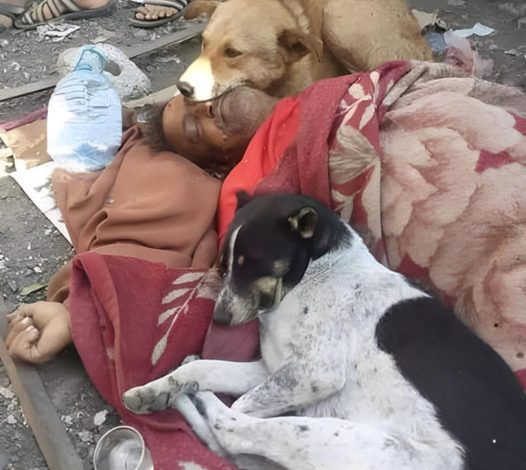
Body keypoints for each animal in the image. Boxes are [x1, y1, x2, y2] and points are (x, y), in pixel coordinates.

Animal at [124, 193, 526, 468]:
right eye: (224, 265)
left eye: (251, 264)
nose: (220, 319)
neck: (315, 271)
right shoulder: (273, 367)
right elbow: (201, 367)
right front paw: (155, 390)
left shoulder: (314, 373)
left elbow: (239, 403)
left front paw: (184, 390)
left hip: (344, 440)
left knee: (231, 428)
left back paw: (201, 401)